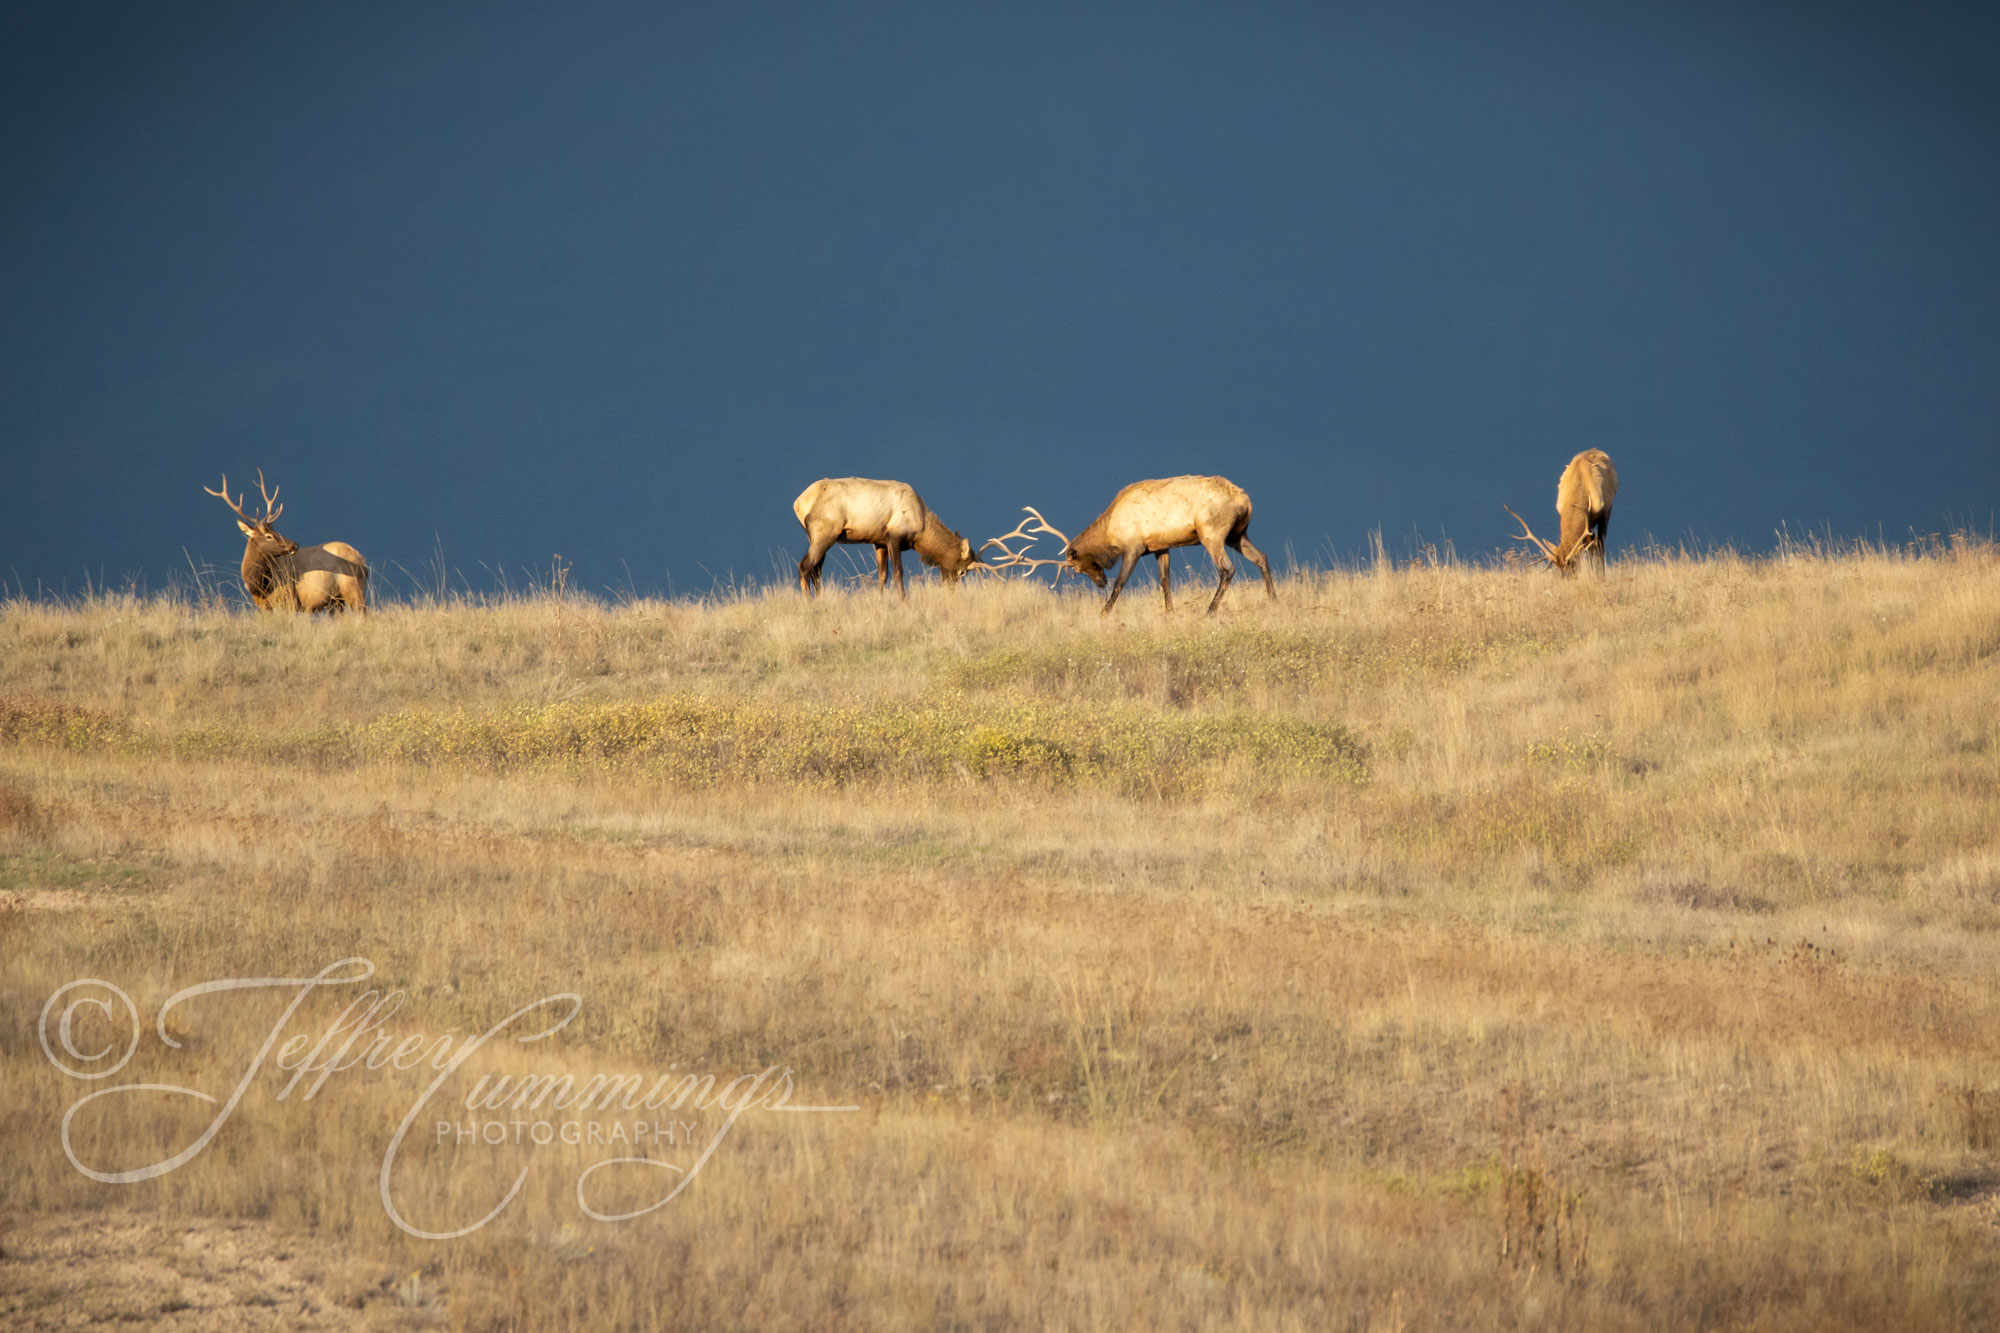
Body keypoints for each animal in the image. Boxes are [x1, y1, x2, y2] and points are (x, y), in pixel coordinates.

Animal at [204, 471, 370, 613]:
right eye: (268, 536)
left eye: (275, 532)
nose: (294, 544)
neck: (259, 585)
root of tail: (363, 561)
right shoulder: (262, 605)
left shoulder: (288, 599)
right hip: (335, 600)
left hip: (353, 588)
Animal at [793, 478, 981, 597]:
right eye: (962, 571)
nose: (950, 588)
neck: (921, 525)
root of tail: (799, 502)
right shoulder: (893, 537)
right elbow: (898, 572)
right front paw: (904, 601)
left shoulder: (879, 542)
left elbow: (882, 574)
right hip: (824, 535)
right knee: (805, 567)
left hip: (816, 538)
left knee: (816, 571)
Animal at [992, 475, 1275, 614]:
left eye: (1079, 566)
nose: (1100, 582)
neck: (1111, 532)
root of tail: (1245, 500)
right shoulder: (1161, 546)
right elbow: (1165, 582)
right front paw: (1169, 614)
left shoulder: (1134, 547)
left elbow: (1121, 584)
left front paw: (1104, 613)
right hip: (1238, 534)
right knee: (1262, 556)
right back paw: (1273, 599)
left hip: (1212, 533)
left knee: (1227, 569)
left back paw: (1210, 611)